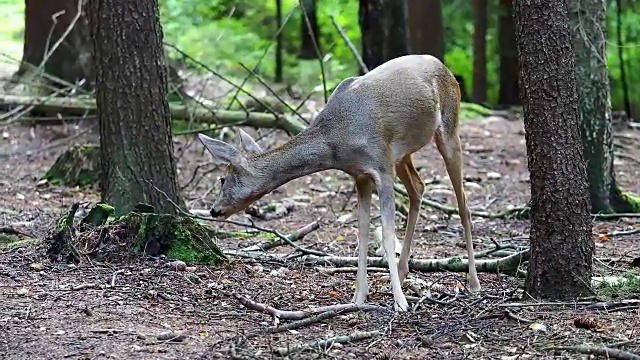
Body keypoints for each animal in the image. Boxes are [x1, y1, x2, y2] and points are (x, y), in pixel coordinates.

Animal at [198, 54, 478, 310]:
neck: (337, 142)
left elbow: (387, 234)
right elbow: (362, 232)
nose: (214, 209)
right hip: (402, 154)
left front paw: (400, 303)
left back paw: (473, 282)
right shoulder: (360, 175)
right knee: (418, 188)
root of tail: (444, 67)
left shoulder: (381, 166)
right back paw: (401, 272)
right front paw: (358, 297)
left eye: (222, 179)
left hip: (448, 128)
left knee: (463, 202)